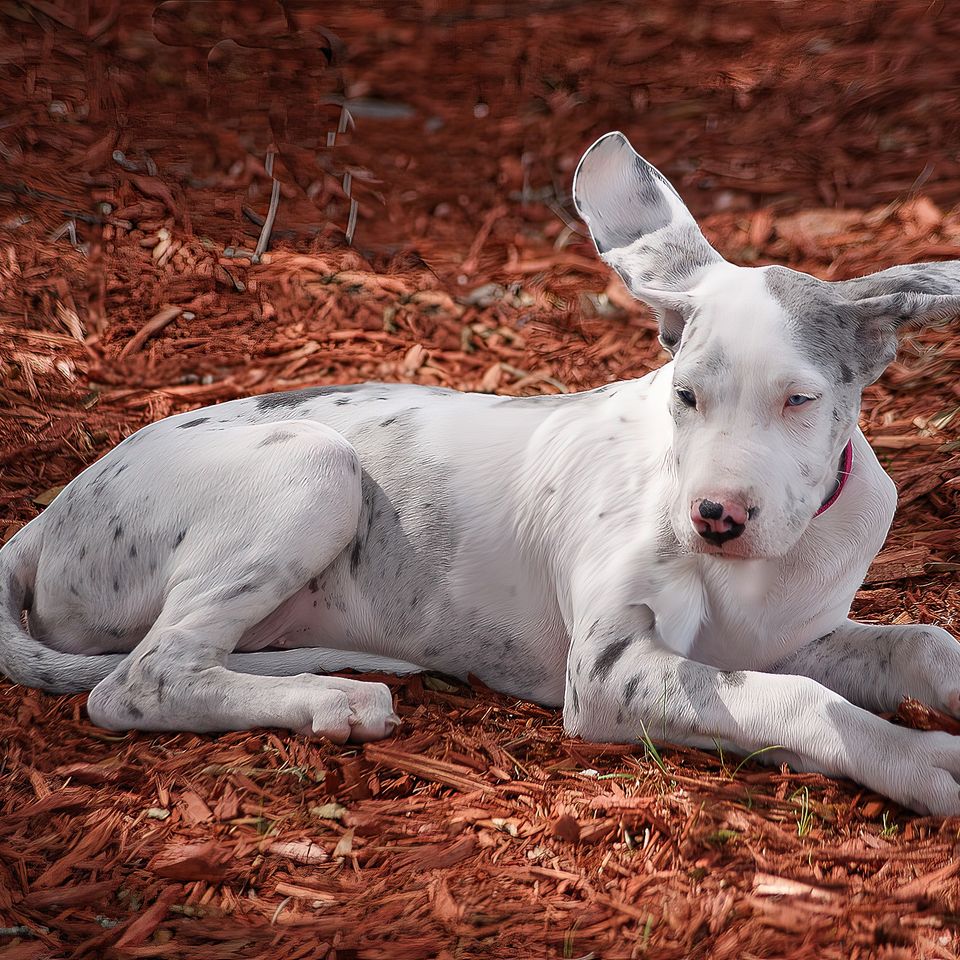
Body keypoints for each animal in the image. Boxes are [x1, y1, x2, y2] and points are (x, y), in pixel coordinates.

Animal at [1, 131, 960, 812]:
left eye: (799, 400)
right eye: (686, 395)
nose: (714, 517)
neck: (761, 572)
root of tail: (49, 513)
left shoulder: (796, 636)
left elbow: (920, 643)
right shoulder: (607, 675)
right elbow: (796, 700)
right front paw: (923, 761)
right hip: (315, 467)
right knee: (140, 681)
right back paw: (330, 702)